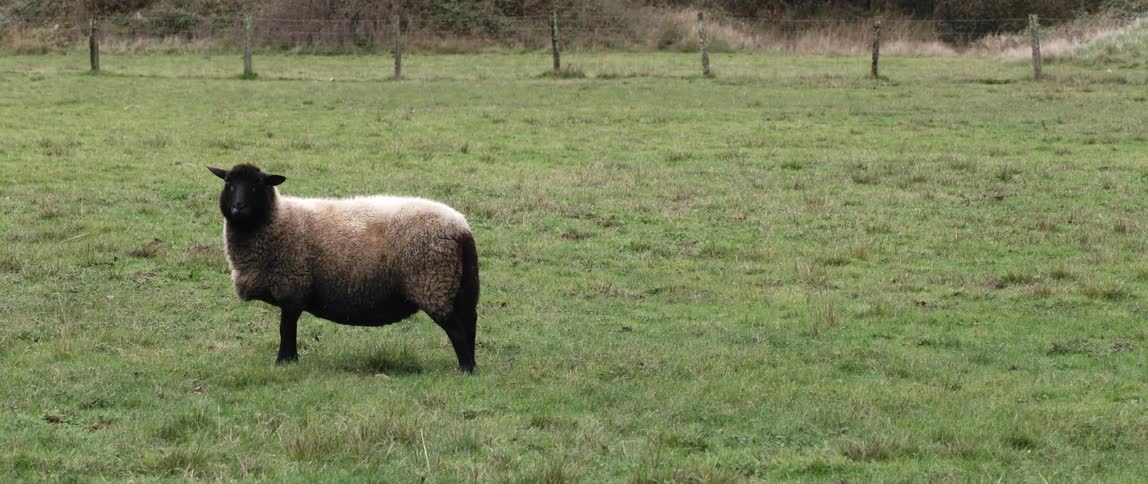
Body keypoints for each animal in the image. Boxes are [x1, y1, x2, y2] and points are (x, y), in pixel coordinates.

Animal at [207, 164, 479, 373]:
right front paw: (290, 361)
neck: (277, 220)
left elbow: (286, 329)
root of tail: (460, 227)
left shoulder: (292, 286)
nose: (238, 207)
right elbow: (288, 329)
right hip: (458, 284)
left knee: (455, 327)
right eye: (228, 183)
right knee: (469, 322)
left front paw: (284, 362)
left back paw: (465, 368)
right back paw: (473, 364)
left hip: (432, 281)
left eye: (257, 184)